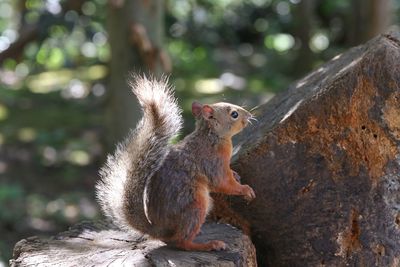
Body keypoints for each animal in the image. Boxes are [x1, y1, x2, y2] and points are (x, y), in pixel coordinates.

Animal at [95, 76, 255, 253]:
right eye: (234, 114)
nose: (249, 115)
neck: (212, 137)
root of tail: (158, 230)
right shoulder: (213, 162)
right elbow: (223, 183)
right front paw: (245, 189)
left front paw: (236, 175)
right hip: (195, 205)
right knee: (180, 242)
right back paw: (208, 245)